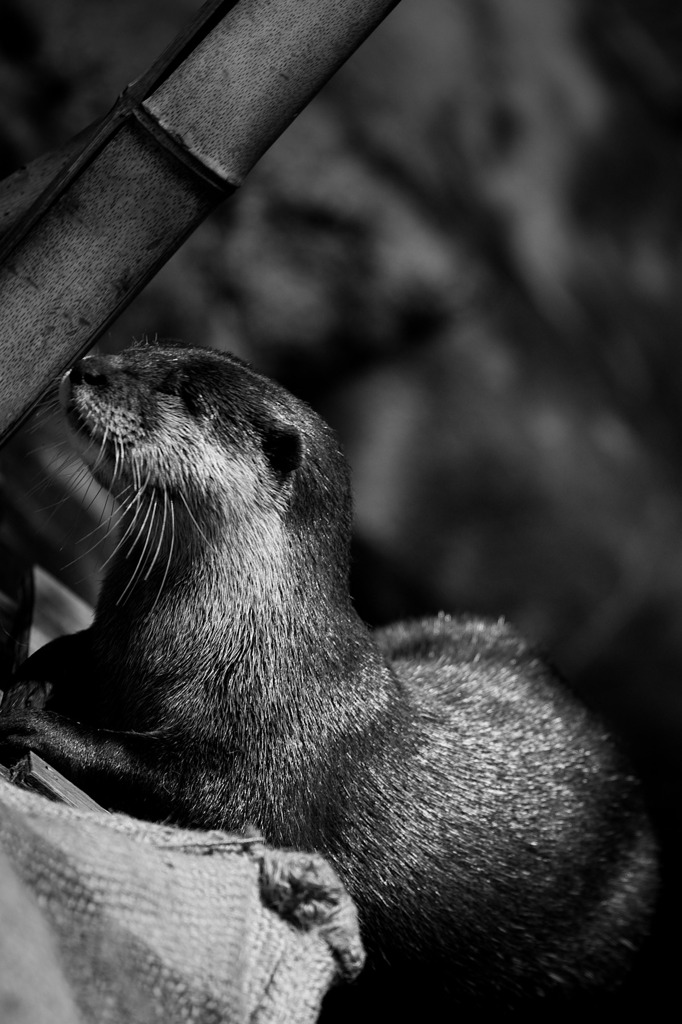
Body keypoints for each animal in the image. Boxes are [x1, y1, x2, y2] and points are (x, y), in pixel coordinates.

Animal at [0, 344, 655, 1015]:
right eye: (143, 349)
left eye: (183, 392)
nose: (89, 367)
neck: (247, 643)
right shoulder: (106, 646)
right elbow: (69, 652)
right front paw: (32, 676)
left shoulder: (267, 761)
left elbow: (176, 787)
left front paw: (37, 725)